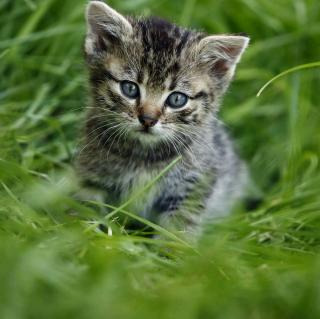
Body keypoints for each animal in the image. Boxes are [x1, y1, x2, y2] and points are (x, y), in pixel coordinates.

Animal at [75, 0, 250, 235]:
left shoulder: (192, 188)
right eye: (129, 88)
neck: (144, 155)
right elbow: (85, 210)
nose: (148, 119)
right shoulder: (90, 175)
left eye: (177, 99)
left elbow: (178, 230)